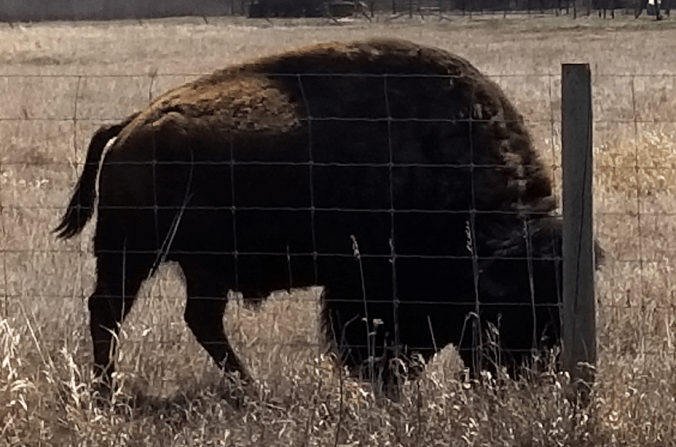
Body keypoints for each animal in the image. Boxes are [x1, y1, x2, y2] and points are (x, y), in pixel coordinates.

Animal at [56, 38, 598, 396]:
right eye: (520, 307)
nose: (525, 378)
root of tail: (130, 126)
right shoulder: (364, 283)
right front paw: (385, 385)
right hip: (131, 254)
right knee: (108, 311)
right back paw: (107, 391)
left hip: (200, 268)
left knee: (198, 319)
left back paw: (251, 391)